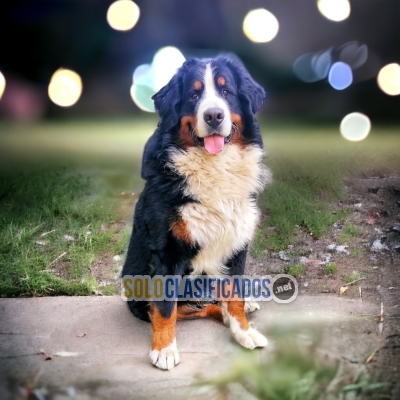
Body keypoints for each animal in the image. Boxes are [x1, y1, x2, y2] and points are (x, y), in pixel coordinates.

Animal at [122, 54, 272, 370]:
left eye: (226, 92)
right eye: (194, 95)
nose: (214, 115)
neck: (214, 166)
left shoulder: (238, 242)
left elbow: (235, 296)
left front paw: (244, 331)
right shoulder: (168, 251)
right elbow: (164, 309)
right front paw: (164, 350)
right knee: (192, 308)